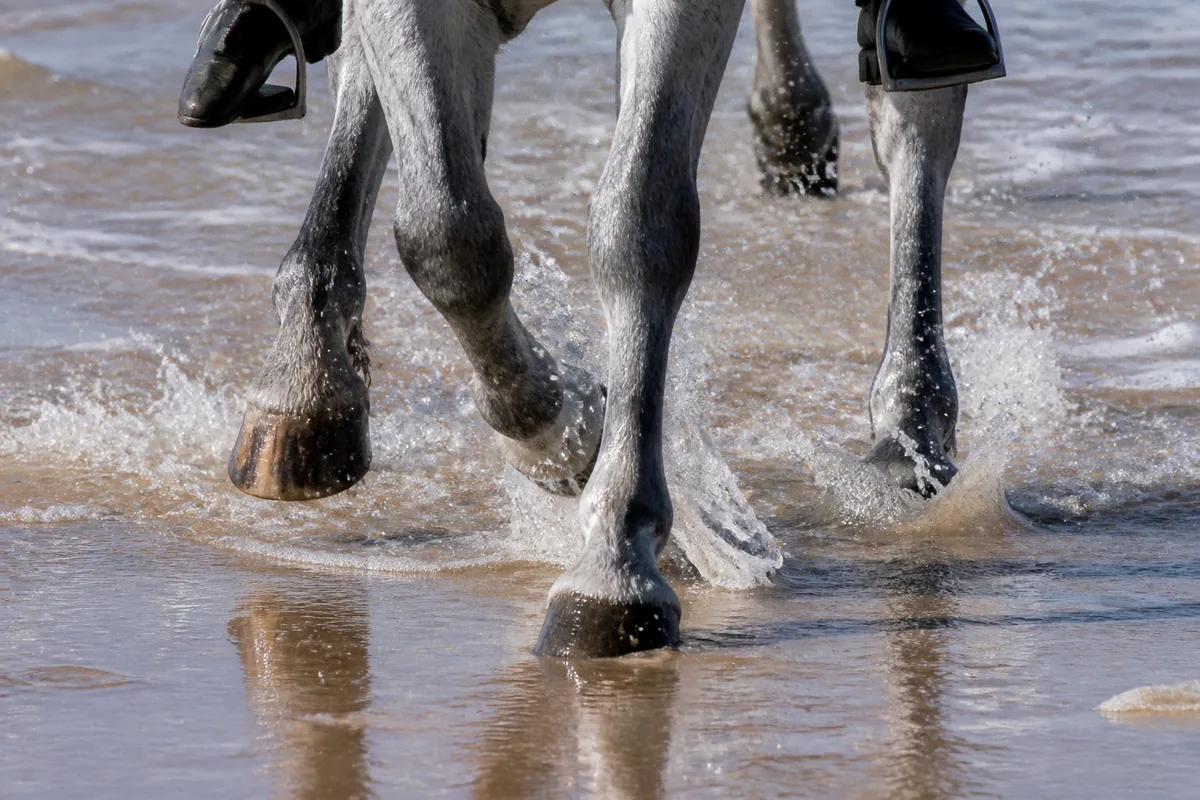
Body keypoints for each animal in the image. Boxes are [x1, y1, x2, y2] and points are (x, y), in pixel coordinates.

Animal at [218, 0, 989, 658]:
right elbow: (445, 231)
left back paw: (912, 427)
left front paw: (615, 555)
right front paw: (560, 432)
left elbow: (640, 224)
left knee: (917, 121)